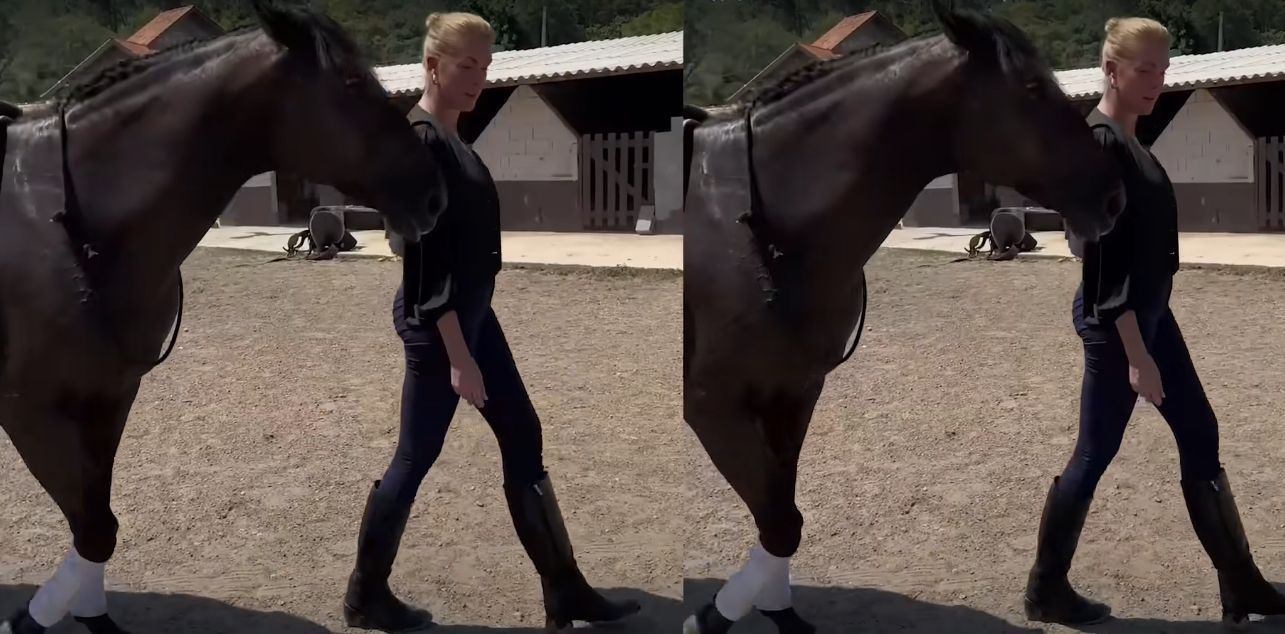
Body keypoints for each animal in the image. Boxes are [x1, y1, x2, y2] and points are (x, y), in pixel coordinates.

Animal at [0, 1, 449, 632]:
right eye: (353, 83)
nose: (434, 194)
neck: (64, 218)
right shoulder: (30, 410)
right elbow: (93, 527)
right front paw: (27, 619)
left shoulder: (108, 398)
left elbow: (97, 523)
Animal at [681, 3, 1127, 633]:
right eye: (1033, 88)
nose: (1113, 196)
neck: (755, 226)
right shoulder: (713, 407)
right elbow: (780, 522)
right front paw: (714, 617)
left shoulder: (793, 393)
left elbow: (782, 517)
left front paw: (772, 610)